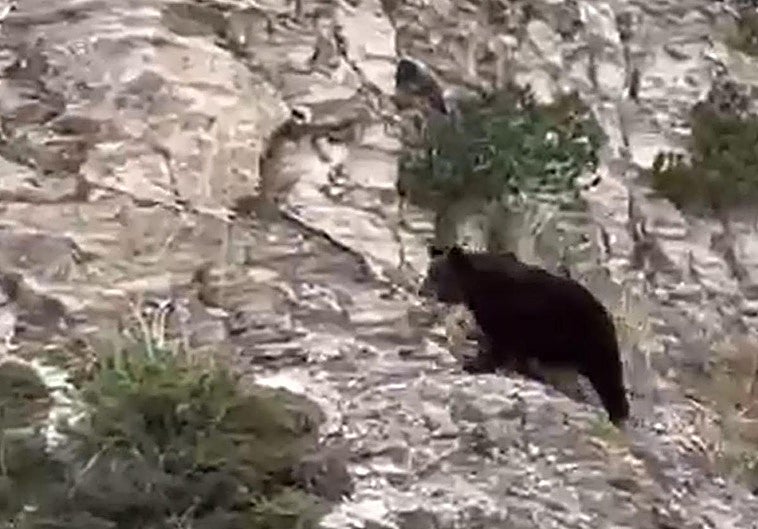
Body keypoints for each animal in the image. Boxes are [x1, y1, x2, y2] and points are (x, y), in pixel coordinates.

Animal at [418, 244, 630, 426]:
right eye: (429, 272)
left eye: (436, 275)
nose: (421, 291)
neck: (478, 284)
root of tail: (606, 313)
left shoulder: (506, 310)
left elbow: (499, 342)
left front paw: (476, 364)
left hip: (587, 341)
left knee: (607, 376)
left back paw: (617, 414)